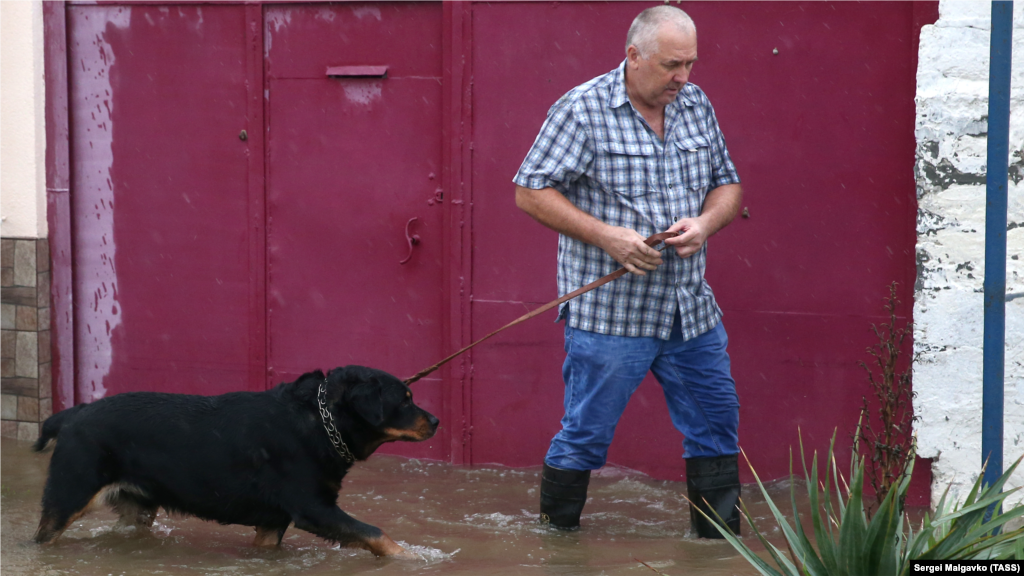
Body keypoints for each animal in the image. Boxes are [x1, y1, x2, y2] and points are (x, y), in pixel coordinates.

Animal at [29, 362, 438, 557]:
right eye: (405, 400)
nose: (435, 420)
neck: (323, 422)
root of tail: (71, 414)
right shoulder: (313, 508)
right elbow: (375, 532)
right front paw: (411, 557)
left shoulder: (273, 523)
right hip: (68, 495)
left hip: (136, 509)